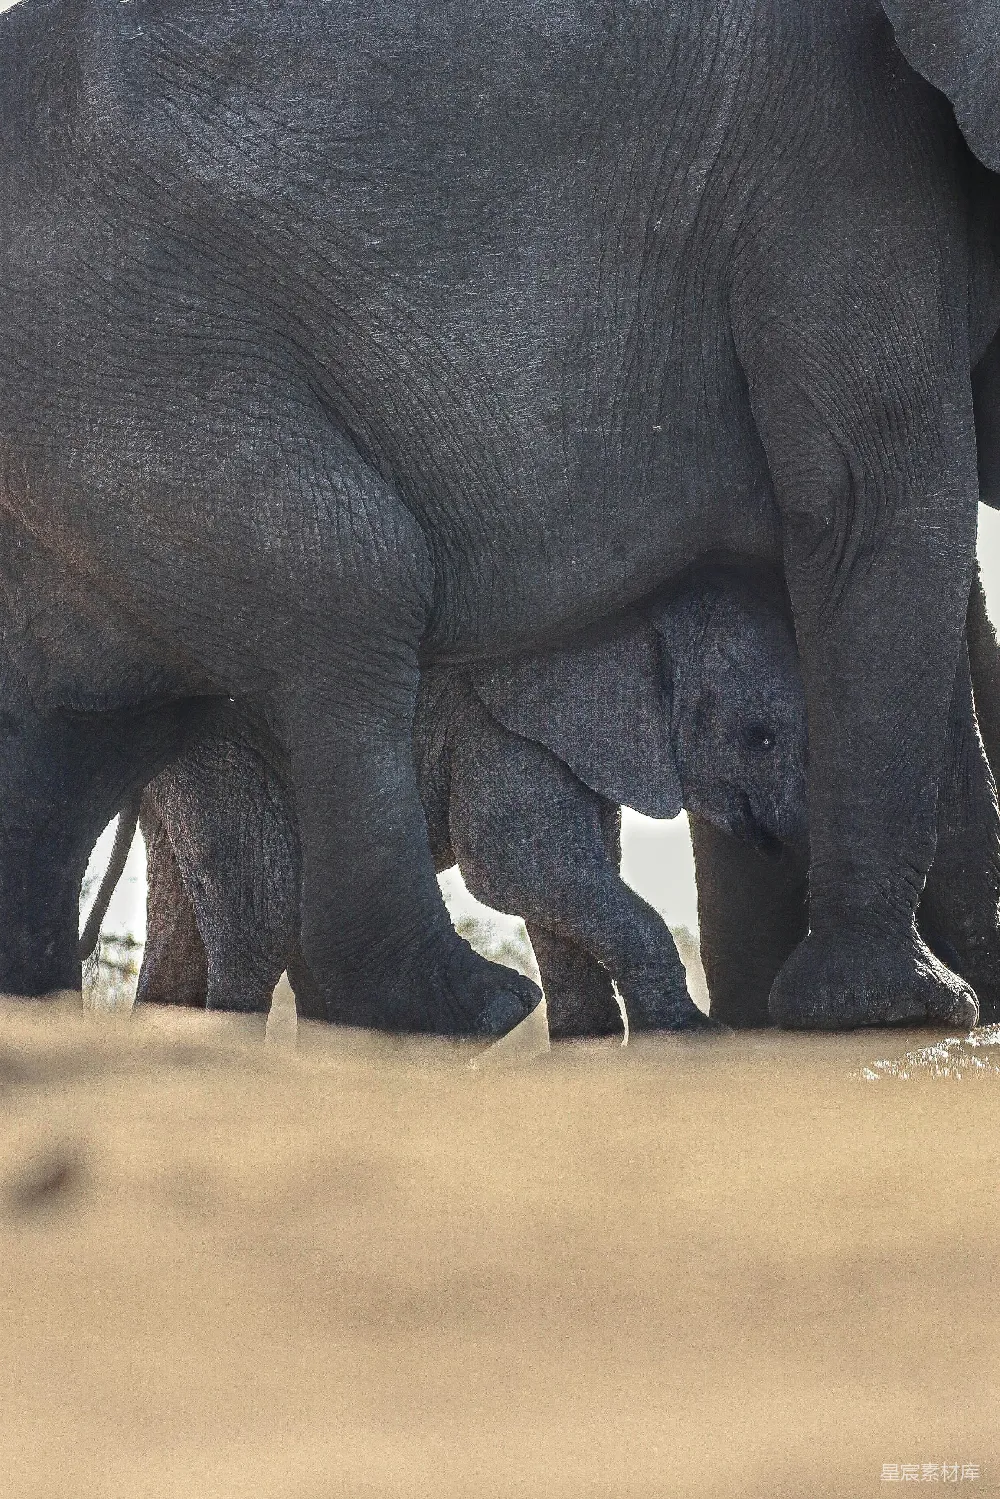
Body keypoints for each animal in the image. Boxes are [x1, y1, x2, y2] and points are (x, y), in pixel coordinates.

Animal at [118, 564, 808, 1035]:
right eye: (761, 737)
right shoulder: (495, 728)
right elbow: (515, 871)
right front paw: (690, 1039)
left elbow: (568, 888)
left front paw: (591, 1049)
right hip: (225, 753)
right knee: (261, 921)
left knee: (183, 934)